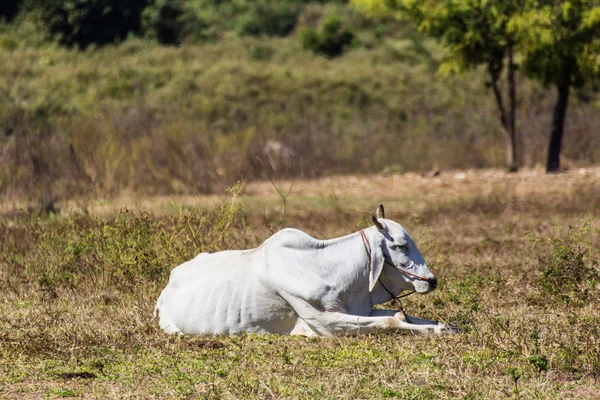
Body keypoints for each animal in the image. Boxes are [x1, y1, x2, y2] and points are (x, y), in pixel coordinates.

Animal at [155, 205, 454, 336]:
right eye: (401, 246)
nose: (431, 280)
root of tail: (167, 288)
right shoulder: (326, 324)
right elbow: (392, 321)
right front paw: (434, 330)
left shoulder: (361, 309)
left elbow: (403, 316)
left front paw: (445, 326)